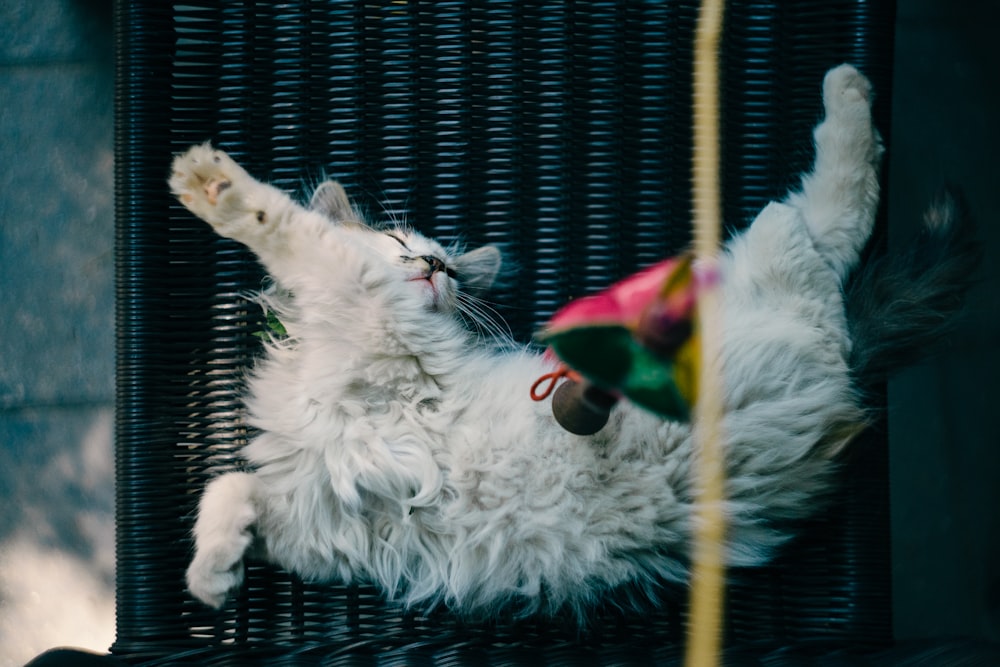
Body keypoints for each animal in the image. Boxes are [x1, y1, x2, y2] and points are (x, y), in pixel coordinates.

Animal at [172, 65, 976, 620]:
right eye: (404, 244)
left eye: (450, 269)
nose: (432, 266)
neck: (316, 356)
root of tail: (845, 362)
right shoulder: (329, 517)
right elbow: (230, 488)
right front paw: (215, 571)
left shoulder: (364, 299)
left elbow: (287, 226)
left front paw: (214, 185)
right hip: (770, 288)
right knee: (830, 224)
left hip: (776, 276)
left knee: (823, 216)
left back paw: (846, 92)